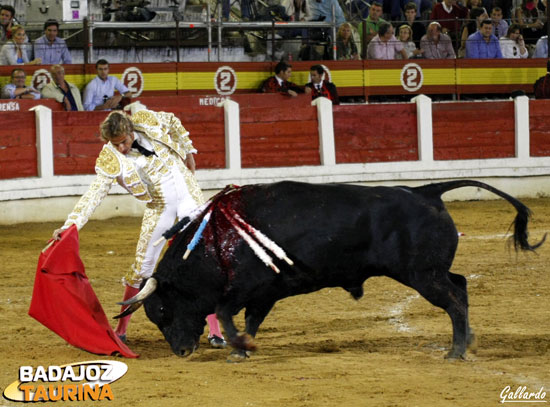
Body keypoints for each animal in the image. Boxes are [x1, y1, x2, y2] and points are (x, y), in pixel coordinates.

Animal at [121, 180, 548, 358]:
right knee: (460, 286)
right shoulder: (266, 292)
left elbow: (227, 315)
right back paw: (468, 340)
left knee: (455, 301)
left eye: (163, 310)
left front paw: (239, 347)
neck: (215, 239)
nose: (180, 351)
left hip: (423, 276)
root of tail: (426, 191)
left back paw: (456, 352)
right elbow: (251, 319)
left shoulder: (247, 287)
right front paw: (244, 347)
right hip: (431, 273)